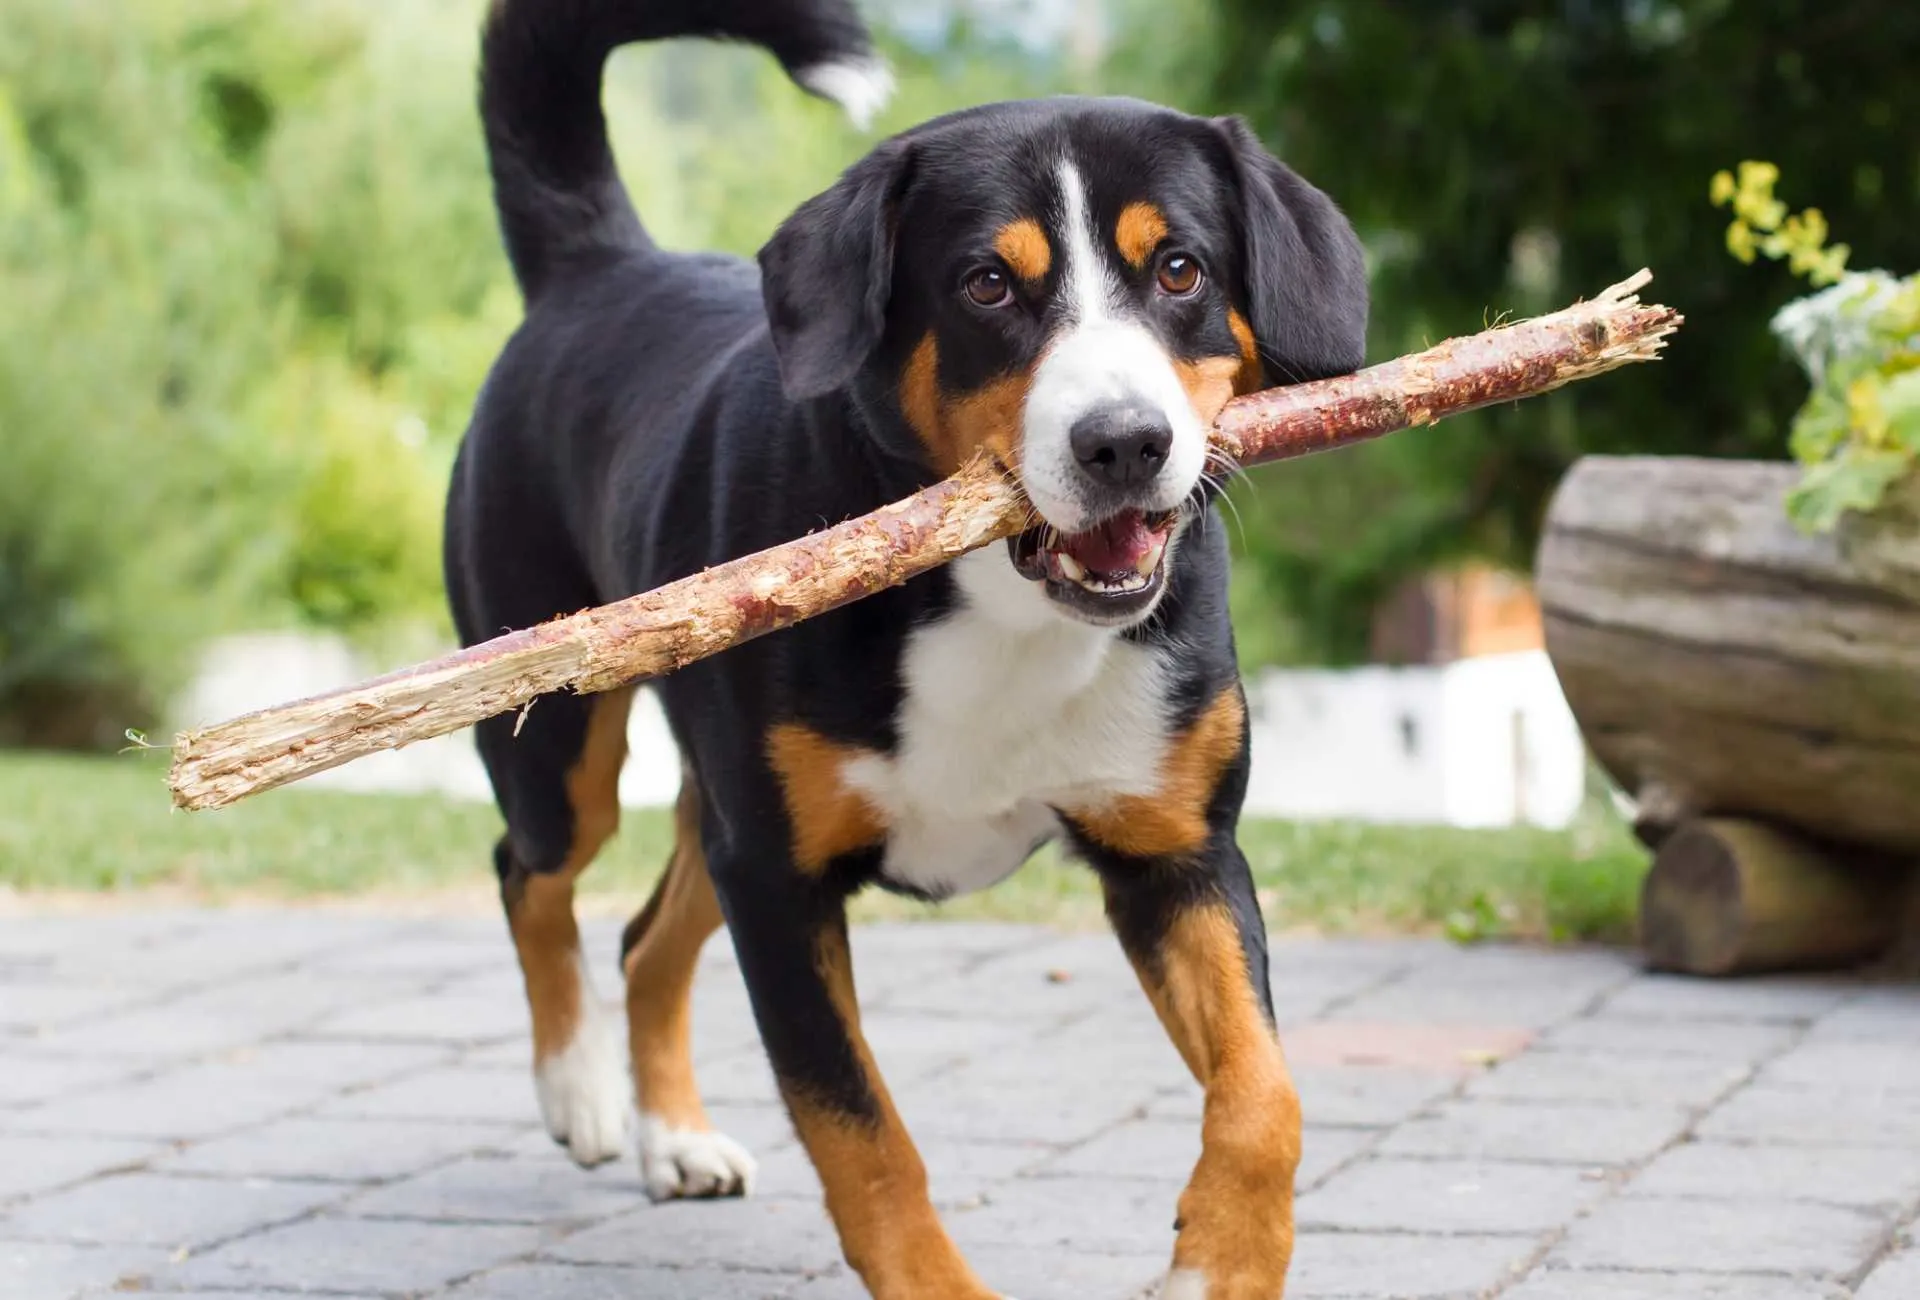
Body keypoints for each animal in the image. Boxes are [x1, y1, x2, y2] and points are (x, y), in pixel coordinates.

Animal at [443, 5, 1374, 1290]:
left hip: (717, 802)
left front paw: (1224, 1257)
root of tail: (603, 264)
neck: (1004, 612)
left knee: (644, 937)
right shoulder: (780, 881)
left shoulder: (1179, 853)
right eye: (987, 284)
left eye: (1179, 268)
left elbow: (1266, 1093)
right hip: (563, 739)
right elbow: (864, 1137)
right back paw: (577, 1090)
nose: (1125, 442)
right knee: (532, 870)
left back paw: (673, 1135)